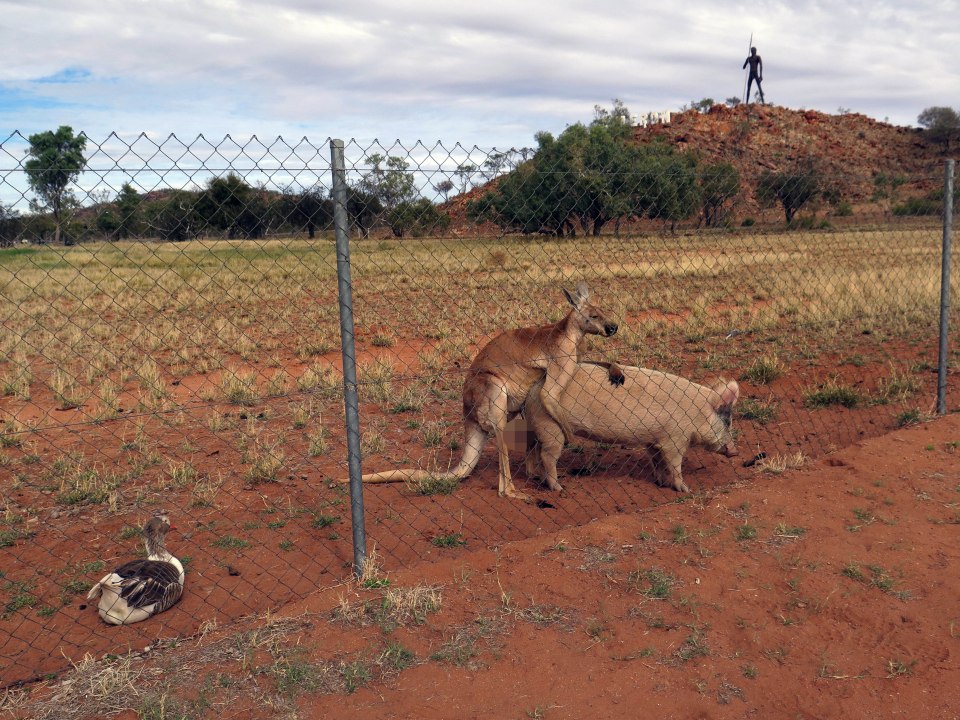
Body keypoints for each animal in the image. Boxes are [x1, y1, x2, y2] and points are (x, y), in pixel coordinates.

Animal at [516, 362, 744, 492]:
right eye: (727, 421)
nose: (735, 451)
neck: (697, 411)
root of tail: (534, 389)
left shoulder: (655, 440)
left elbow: (657, 460)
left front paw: (661, 483)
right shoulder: (675, 438)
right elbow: (675, 463)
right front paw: (685, 489)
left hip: (537, 426)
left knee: (531, 450)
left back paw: (534, 476)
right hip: (551, 427)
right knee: (547, 456)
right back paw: (558, 488)